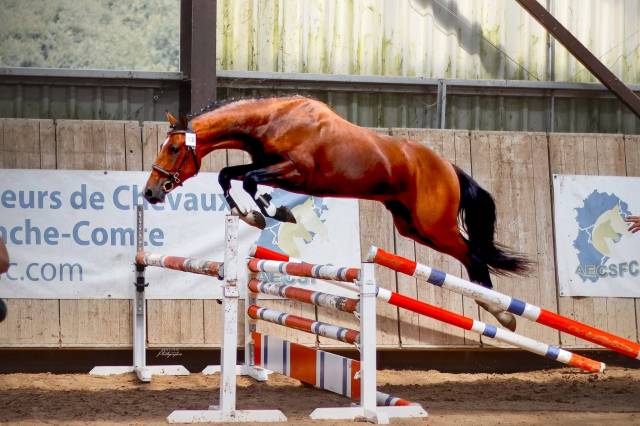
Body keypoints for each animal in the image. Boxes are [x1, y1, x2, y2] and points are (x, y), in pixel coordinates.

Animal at [143, 95, 531, 330]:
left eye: (174, 148)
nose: (150, 192)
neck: (273, 120)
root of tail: (448, 166)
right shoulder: (265, 164)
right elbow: (228, 175)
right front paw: (250, 215)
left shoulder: (293, 171)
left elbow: (251, 182)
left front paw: (277, 212)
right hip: (412, 227)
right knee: (468, 256)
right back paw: (496, 310)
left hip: (433, 225)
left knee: (473, 255)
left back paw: (502, 313)